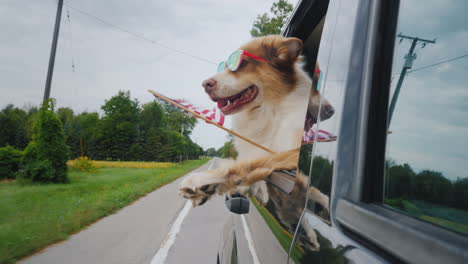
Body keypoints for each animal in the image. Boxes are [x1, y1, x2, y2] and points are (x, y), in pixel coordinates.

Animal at [177, 35, 334, 208]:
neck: (269, 111)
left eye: (242, 63)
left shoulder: (286, 153)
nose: (205, 84)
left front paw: (201, 180)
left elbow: (249, 164)